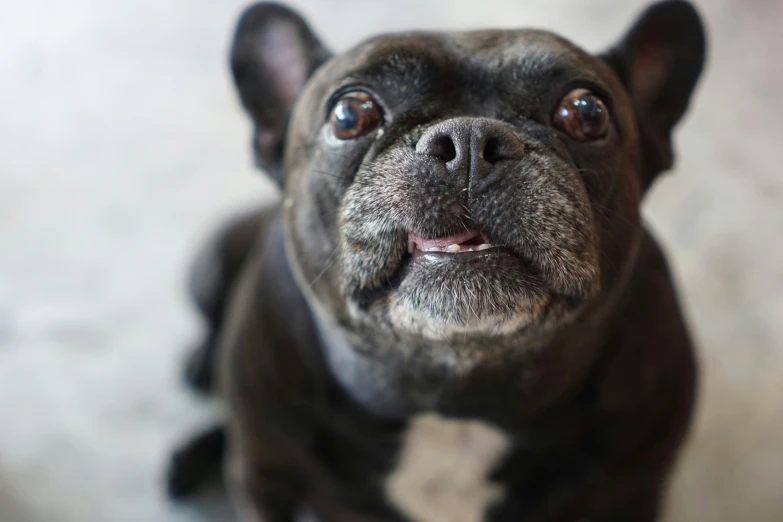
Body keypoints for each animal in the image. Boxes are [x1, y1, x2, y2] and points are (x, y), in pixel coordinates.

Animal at [168, 2, 708, 516]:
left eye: (586, 112)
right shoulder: (264, 479)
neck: (453, 399)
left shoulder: (632, 489)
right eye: (349, 114)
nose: (470, 139)